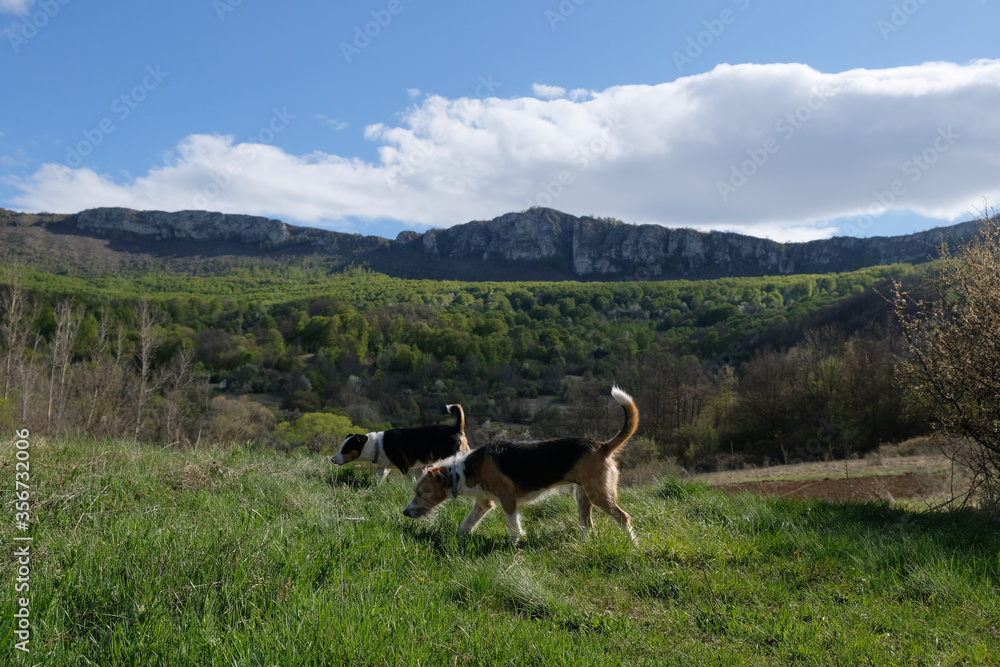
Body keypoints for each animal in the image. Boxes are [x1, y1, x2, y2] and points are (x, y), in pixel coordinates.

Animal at [330, 402, 466, 480]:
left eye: (346, 449)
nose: (332, 459)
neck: (376, 445)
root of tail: (456, 428)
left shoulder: (405, 467)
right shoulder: (383, 468)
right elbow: (377, 481)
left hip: (441, 459)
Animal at [402, 386, 636, 544]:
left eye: (421, 493)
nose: (404, 512)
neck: (461, 470)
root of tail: (603, 446)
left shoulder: (508, 500)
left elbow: (513, 526)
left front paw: (513, 546)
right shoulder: (483, 503)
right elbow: (466, 524)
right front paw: (458, 538)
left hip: (599, 495)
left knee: (623, 517)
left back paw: (633, 545)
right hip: (582, 497)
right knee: (588, 525)